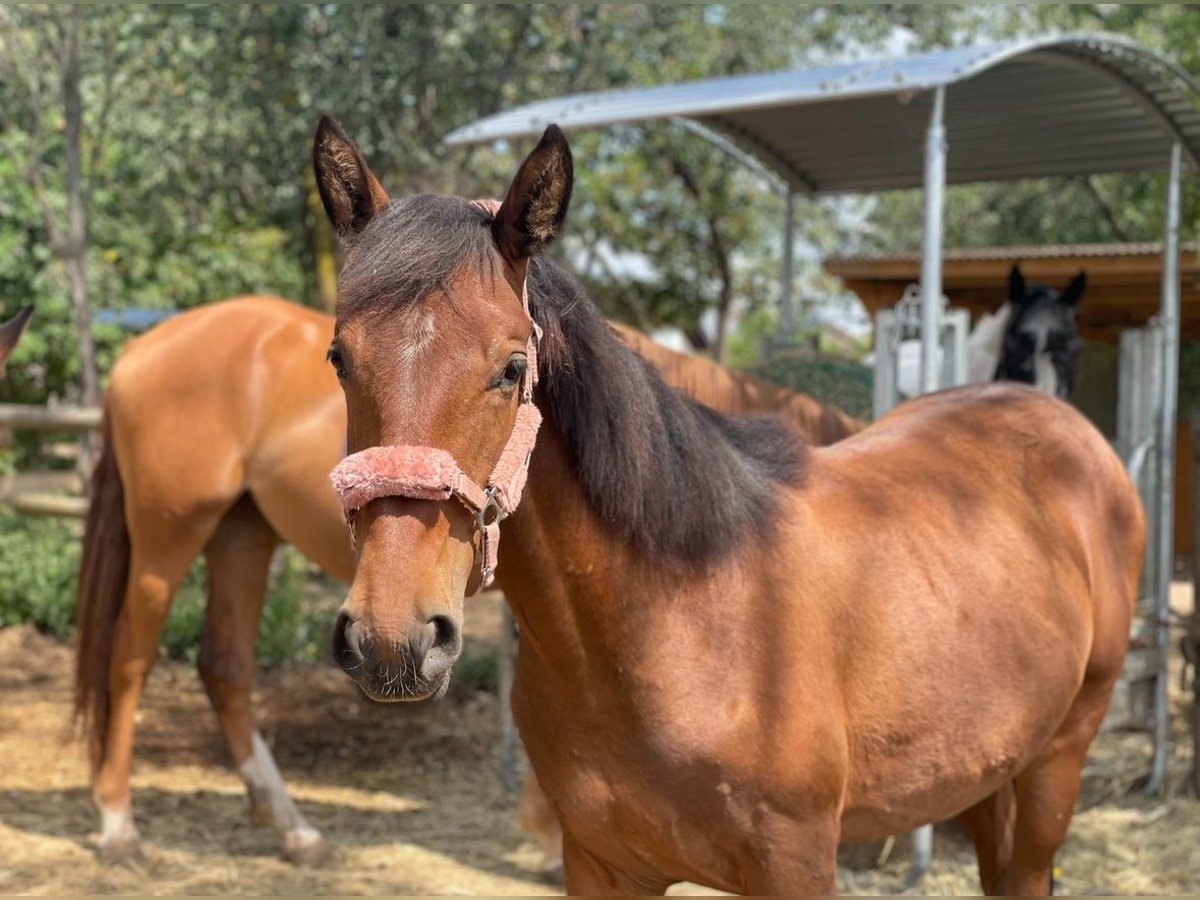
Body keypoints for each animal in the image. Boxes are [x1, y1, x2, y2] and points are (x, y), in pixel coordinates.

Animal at [75, 296, 859, 868]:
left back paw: (292, 829)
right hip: (168, 539)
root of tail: (142, 350)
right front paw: (545, 835)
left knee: (226, 668)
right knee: (129, 660)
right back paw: (117, 826)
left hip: (243, 535)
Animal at [316, 118, 1142, 897]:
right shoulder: (600, 866)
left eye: (513, 367)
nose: (393, 639)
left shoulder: (796, 866)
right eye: (339, 357)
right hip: (982, 768)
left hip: (1057, 760)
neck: (673, 622)